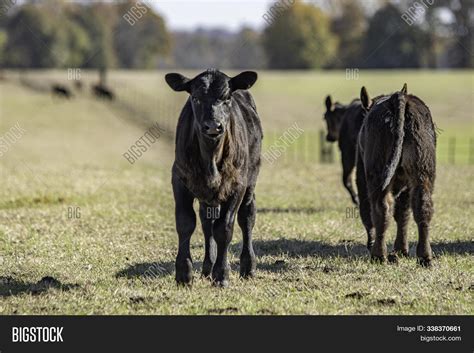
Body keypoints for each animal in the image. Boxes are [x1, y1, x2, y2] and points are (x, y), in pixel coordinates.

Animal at [166, 68, 262, 286]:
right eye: (195, 98)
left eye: (226, 98)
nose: (212, 126)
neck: (210, 158)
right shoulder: (179, 180)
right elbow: (185, 223)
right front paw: (184, 273)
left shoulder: (237, 185)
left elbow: (224, 228)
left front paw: (222, 274)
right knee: (206, 222)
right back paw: (207, 267)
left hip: (251, 182)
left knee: (247, 216)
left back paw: (248, 266)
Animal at [356, 85, 436, 266]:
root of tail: (398, 97)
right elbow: (403, 212)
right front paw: (401, 249)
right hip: (423, 170)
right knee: (422, 205)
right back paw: (425, 256)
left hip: (376, 172)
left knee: (381, 208)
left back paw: (378, 255)